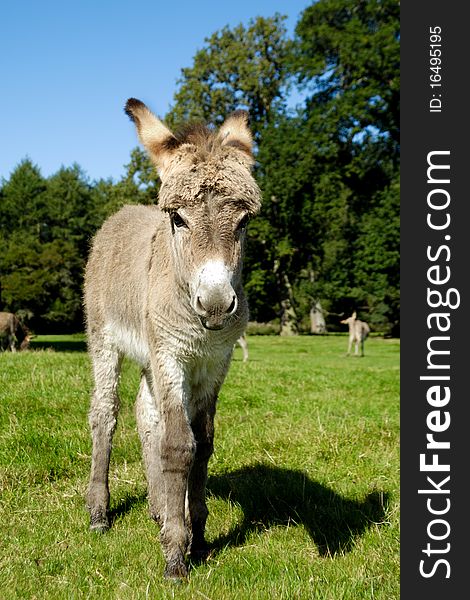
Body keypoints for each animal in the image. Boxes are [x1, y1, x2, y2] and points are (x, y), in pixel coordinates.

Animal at [84, 98, 260, 580]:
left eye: (244, 221)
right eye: (177, 218)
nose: (216, 304)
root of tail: (122, 212)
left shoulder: (213, 362)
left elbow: (204, 441)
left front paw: (196, 531)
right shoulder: (172, 354)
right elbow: (180, 445)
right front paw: (176, 556)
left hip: (150, 356)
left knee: (146, 415)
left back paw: (160, 507)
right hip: (104, 338)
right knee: (106, 414)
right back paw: (99, 513)